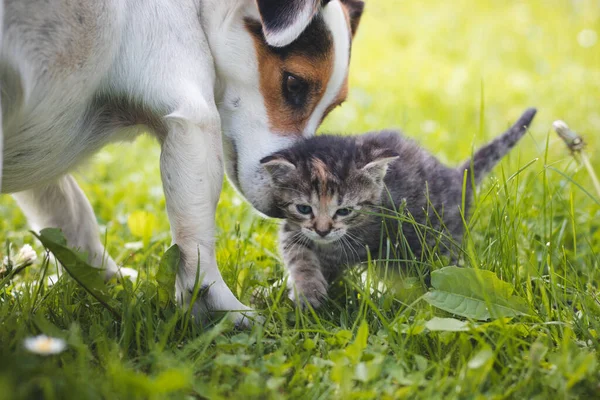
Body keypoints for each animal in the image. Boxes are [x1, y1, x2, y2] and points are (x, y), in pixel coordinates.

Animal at [0, 0, 366, 324]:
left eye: (332, 108)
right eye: (293, 83)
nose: (297, 209)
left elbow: (72, 213)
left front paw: (103, 277)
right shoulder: (194, 122)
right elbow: (197, 249)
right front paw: (226, 312)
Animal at [260, 108, 536, 308]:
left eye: (344, 211)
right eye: (304, 209)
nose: (322, 231)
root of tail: (457, 178)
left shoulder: (355, 243)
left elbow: (326, 260)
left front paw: (308, 294)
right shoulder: (293, 227)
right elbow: (297, 252)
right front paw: (305, 287)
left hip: (437, 244)